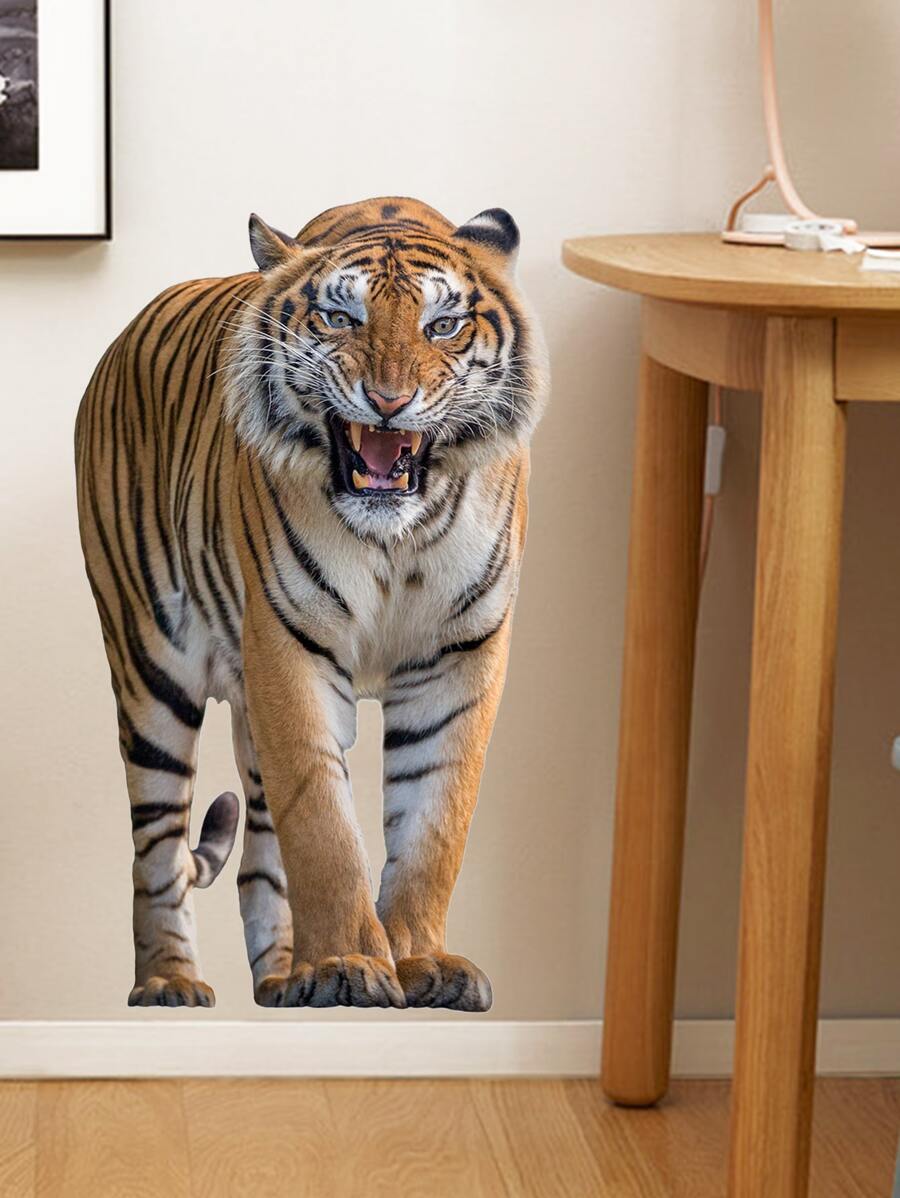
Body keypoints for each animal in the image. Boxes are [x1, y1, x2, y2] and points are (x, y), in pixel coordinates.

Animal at [75, 196, 548, 1010]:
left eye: (442, 326)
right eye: (339, 318)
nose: (389, 403)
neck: (400, 538)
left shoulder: (459, 658)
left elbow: (434, 823)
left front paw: (421, 961)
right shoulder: (289, 649)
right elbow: (323, 829)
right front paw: (347, 965)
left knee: (259, 859)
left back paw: (281, 979)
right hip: (149, 670)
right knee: (157, 849)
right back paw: (172, 981)